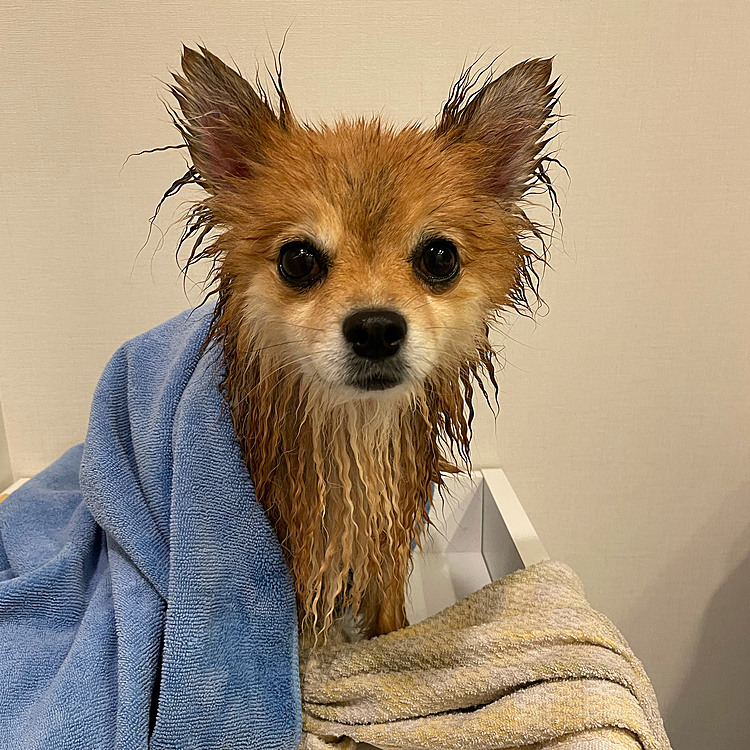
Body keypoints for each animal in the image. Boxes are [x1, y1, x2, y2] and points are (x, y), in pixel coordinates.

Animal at [167, 47, 560, 644]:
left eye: (439, 257)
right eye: (298, 260)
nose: (376, 327)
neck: (357, 430)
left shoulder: (385, 533)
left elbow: (388, 609)